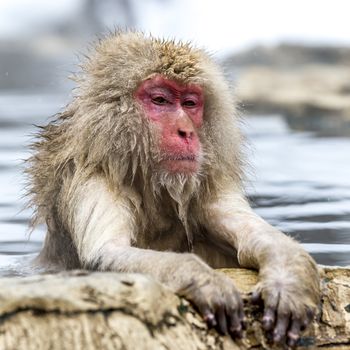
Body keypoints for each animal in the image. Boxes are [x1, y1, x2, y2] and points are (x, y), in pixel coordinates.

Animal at [28, 32, 320, 348]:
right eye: (160, 100)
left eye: (190, 103)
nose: (186, 132)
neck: (151, 186)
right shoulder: (91, 181)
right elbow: (105, 255)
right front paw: (203, 279)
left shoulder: (206, 190)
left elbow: (261, 237)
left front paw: (286, 284)